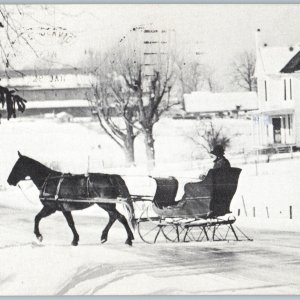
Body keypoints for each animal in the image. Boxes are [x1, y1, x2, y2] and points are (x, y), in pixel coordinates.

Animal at [6, 152, 135, 246]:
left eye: (18, 166)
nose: (9, 180)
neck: (49, 180)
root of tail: (111, 177)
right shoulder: (53, 208)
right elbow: (37, 217)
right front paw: (39, 236)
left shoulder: (59, 208)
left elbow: (70, 223)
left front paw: (74, 240)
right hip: (107, 205)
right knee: (113, 217)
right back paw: (104, 237)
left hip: (106, 204)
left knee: (121, 217)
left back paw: (129, 239)